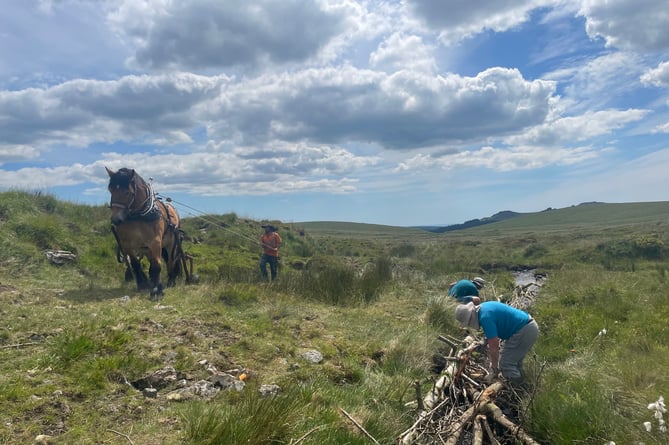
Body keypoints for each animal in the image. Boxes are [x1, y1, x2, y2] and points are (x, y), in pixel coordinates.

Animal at [105, 166, 192, 298]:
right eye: (111, 190)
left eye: (127, 192)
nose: (115, 219)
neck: (139, 215)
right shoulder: (127, 244)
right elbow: (135, 264)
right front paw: (143, 285)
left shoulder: (155, 242)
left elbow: (157, 266)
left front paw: (157, 290)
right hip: (146, 249)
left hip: (171, 244)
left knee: (171, 261)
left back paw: (171, 281)